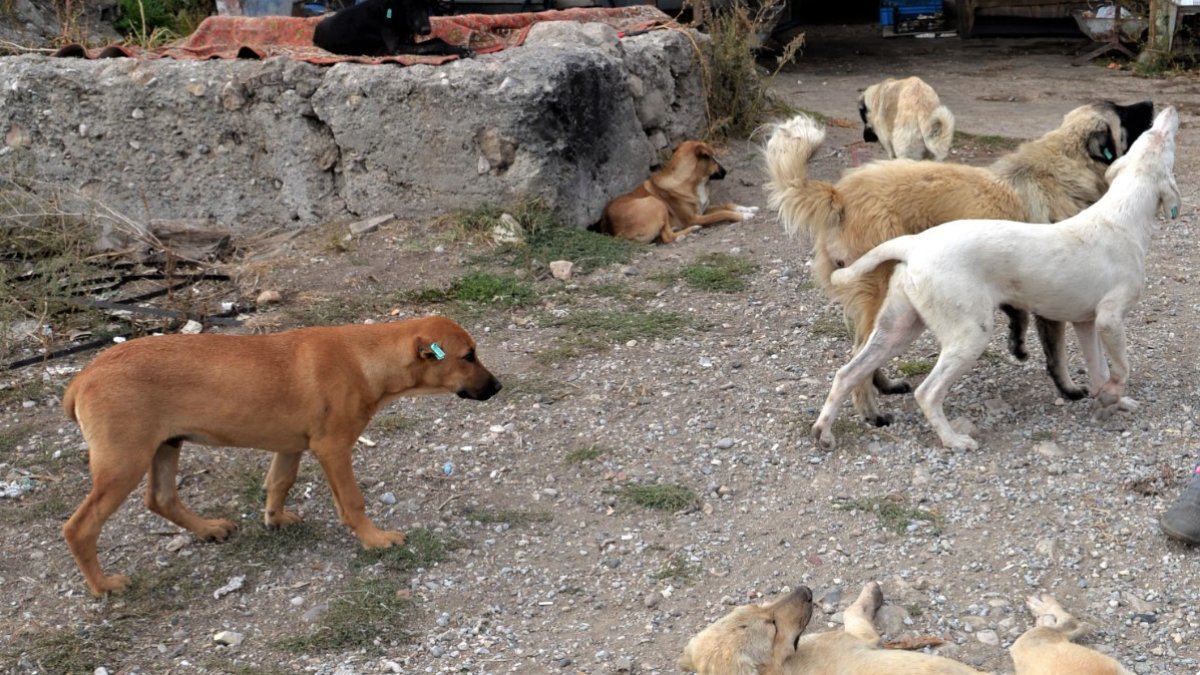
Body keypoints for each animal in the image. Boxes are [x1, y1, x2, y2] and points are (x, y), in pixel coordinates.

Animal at [59, 314, 501, 593]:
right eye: (468, 356)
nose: (497, 387)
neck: (364, 358)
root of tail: (84, 378)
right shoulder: (333, 449)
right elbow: (352, 502)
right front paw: (375, 539)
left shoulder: (291, 447)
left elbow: (279, 482)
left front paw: (275, 519)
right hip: (124, 462)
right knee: (80, 527)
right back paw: (103, 586)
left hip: (166, 446)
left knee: (161, 498)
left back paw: (208, 529)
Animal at [312, 0, 470, 57]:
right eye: (410, 6)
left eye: (427, 5)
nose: (426, 30)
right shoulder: (397, 48)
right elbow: (435, 42)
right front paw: (460, 50)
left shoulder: (409, 41)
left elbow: (434, 40)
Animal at [597, 138, 758, 241]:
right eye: (713, 158)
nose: (725, 172)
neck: (692, 183)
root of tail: (611, 228)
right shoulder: (694, 217)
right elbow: (723, 213)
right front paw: (744, 216)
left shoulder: (703, 209)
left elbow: (727, 204)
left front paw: (748, 208)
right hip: (655, 202)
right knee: (668, 238)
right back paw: (689, 231)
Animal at [768, 98, 1152, 425]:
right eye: (1123, 113)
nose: (1149, 103)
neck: (1063, 165)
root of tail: (840, 195)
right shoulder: (1052, 294)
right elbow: (1055, 351)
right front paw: (1069, 388)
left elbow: (1020, 316)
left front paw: (1017, 342)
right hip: (880, 292)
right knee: (859, 354)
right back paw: (871, 411)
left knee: (865, 352)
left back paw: (884, 386)